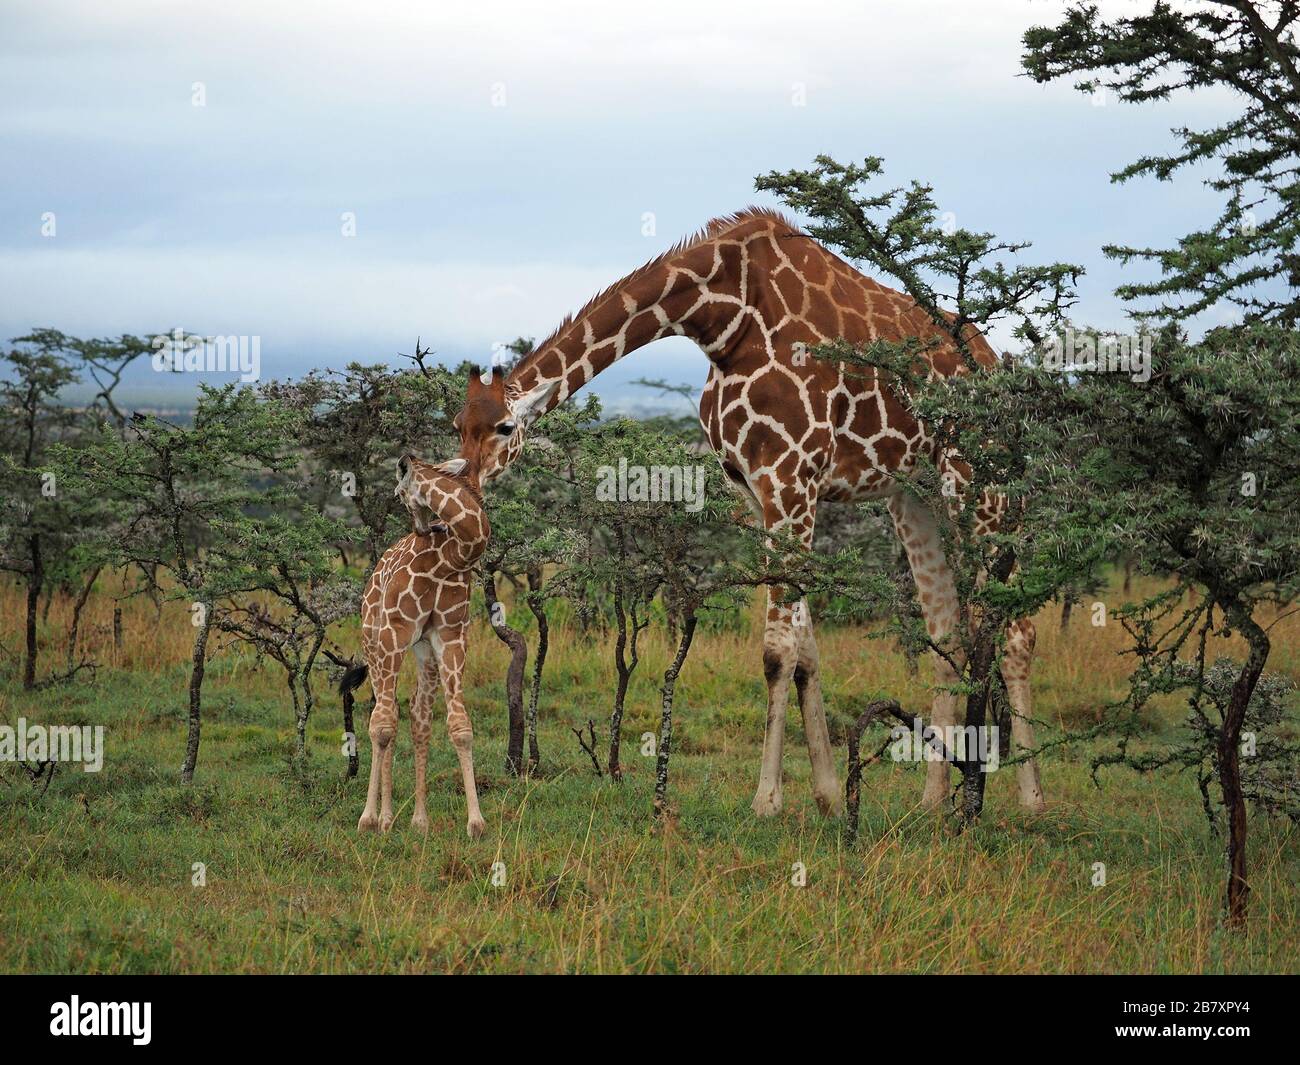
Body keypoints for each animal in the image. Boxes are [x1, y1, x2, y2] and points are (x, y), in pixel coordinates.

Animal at [343, 455, 488, 837]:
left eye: (398, 493)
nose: (426, 529)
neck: (451, 556)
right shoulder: (395, 631)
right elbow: (381, 726)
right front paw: (369, 818)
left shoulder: (450, 636)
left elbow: (460, 727)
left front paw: (476, 822)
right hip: (373, 640)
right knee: (384, 715)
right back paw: (384, 817)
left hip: (422, 652)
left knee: (414, 714)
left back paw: (417, 820)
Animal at [457, 210, 1045, 827]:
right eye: (457, 424)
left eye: (503, 427)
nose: (467, 482)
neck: (722, 320)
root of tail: (993, 365)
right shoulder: (756, 491)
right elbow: (806, 649)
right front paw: (828, 793)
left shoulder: (792, 477)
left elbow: (776, 650)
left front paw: (766, 800)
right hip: (915, 494)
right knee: (946, 632)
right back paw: (932, 801)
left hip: (979, 480)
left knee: (1017, 631)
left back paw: (1029, 801)